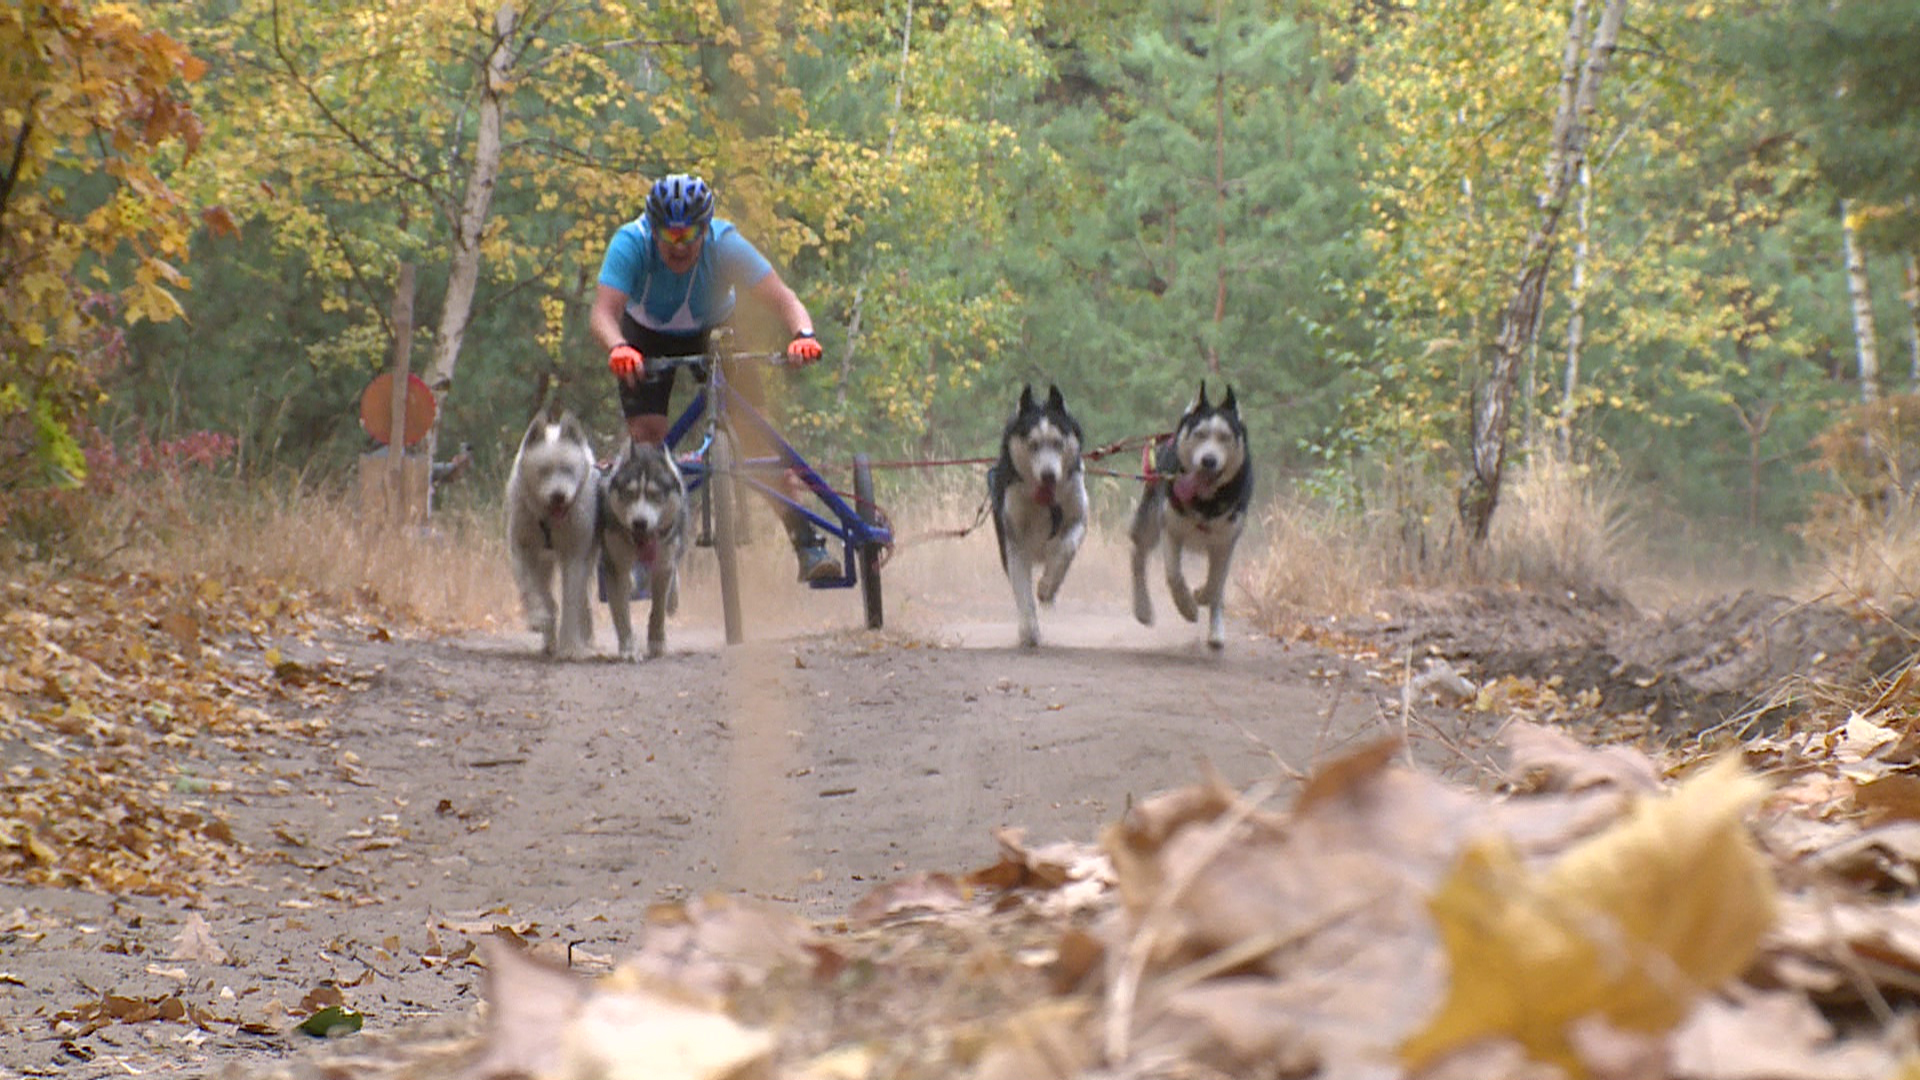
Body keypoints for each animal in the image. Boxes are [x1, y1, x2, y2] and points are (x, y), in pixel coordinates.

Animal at [506, 405, 595, 653]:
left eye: (568, 469)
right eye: (543, 471)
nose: (558, 496)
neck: (549, 521)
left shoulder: (575, 555)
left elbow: (571, 601)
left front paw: (570, 646)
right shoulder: (522, 549)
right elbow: (530, 587)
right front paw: (539, 618)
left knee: (582, 600)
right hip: (544, 561)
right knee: (546, 593)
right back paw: (548, 638)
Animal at [602, 434, 695, 657]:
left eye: (655, 495)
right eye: (629, 493)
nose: (639, 523)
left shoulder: (662, 564)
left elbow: (658, 608)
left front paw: (656, 641)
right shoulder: (616, 564)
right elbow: (622, 612)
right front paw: (628, 648)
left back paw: (673, 600)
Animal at [998, 382, 1090, 641]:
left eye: (1058, 443)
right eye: (1033, 445)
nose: (1048, 475)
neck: (1044, 503)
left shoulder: (1078, 516)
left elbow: (1065, 548)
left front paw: (1048, 586)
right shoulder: (1014, 536)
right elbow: (1022, 588)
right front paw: (1029, 629)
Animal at [1128, 380, 1251, 645]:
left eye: (1224, 437)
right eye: (1200, 434)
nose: (1209, 460)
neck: (1204, 503)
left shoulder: (1226, 541)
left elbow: (1215, 584)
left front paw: (1202, 596)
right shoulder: (1171, 529)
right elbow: (1174, 576)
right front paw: (1187, 607)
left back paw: (1215, 630)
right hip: (1150, 518)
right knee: (1138, 553)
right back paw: (1143, 608)